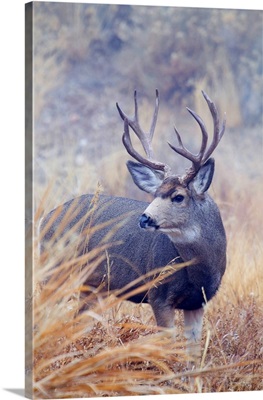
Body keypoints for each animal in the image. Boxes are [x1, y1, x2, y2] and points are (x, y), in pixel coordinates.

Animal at [40, 89, 228, 370]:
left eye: (178, 196)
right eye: (155, 193)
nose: (145, 218)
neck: (199, 270)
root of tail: (45, 218)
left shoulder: (198, 302)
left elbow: (193, 356)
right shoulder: (158, 293)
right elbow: (168, 347)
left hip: (91, 287)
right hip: (55, 272)